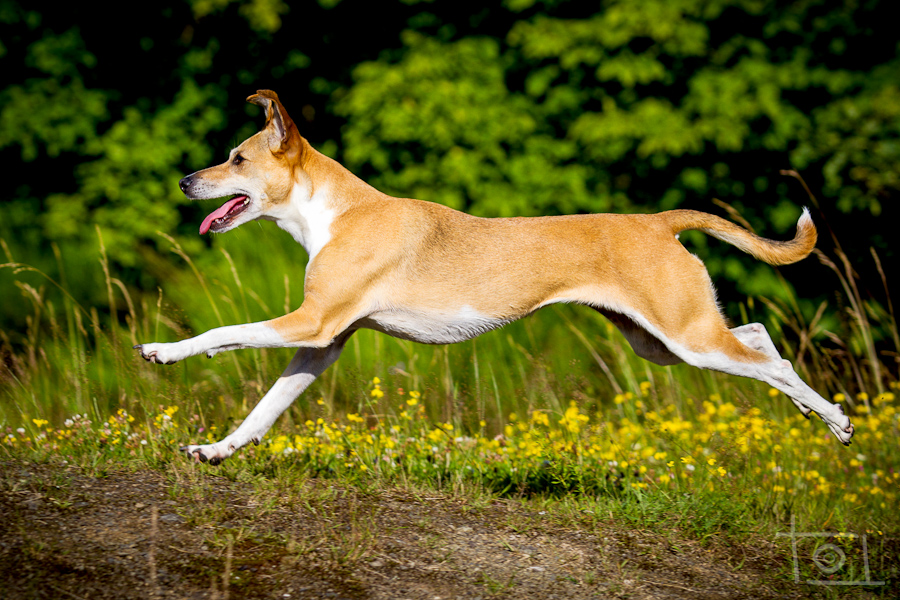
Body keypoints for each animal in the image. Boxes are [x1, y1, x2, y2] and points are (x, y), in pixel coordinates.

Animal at [132, 90, 852, 464]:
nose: (185, 181)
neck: (333, 212)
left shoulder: (308, 323)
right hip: (660, 339)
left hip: (685, 336)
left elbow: (221, 334)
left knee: (771, 361)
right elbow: (266, 408)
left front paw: (163, 351)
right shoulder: (322, 343)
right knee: (758, 337)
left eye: (237, 158)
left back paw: (837, 420)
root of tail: (657, 222)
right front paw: (218, 450)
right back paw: (816, 411)